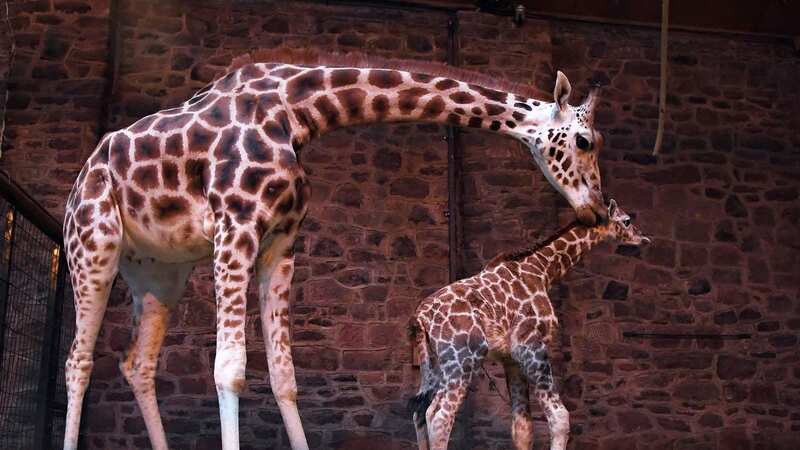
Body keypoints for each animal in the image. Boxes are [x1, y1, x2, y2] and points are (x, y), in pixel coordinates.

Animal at [62, 50, 609, 450]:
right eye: (584, 141)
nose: (597, 210)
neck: (296, 111)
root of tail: (80, 179)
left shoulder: (281, 241)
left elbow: (284, 374)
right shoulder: (236, 227)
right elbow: (230, 369)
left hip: (158, 273)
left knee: (137, 364)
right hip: (92, 246)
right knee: (78, 363)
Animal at [408, 199, 649, 450]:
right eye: (627, 220)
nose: (643, 238)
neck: (543, 270)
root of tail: (420, 317)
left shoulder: (510, 359)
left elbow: (522, 427)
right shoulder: (530, 344)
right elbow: (560, 416)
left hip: (436, 361)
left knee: (421, 411)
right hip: (463, 357)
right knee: (439, 415)